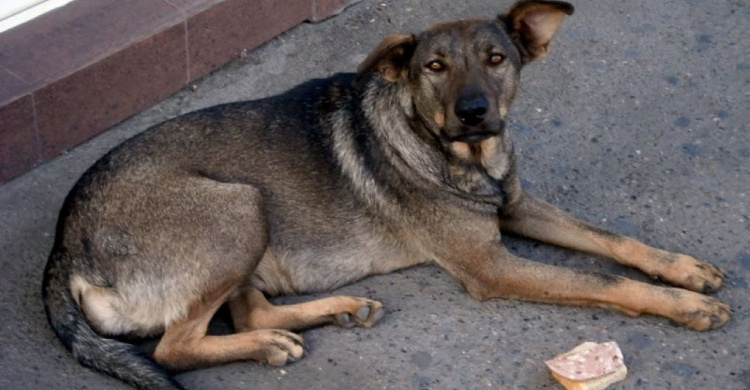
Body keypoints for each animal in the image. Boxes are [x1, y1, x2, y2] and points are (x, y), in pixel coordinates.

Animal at [41, 1, 728, 388]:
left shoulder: (514, 207)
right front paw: (685, 306)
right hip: (237, 207)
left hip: (244, 224)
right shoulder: (491, 265)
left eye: (497, 58)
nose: (474, 113)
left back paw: (335, 312)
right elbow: (604, 280)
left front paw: (684, 270)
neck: (459, 158)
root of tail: (62, 246)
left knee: (248, 311)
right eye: (434, 67)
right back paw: (266, 346)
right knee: (175, 348)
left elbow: (614, 241)